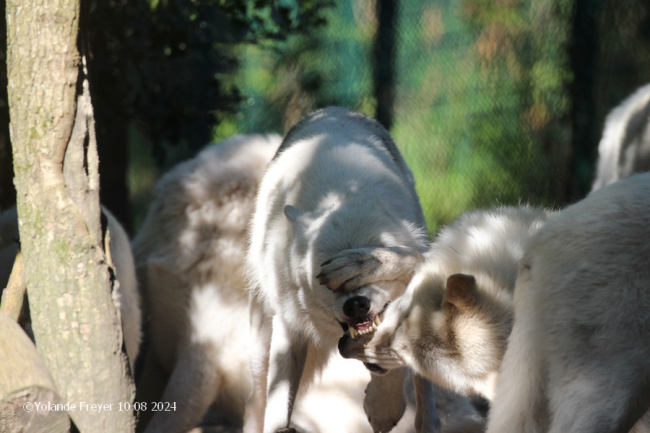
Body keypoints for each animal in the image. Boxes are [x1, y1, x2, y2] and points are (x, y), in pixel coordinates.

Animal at [244, 105, 440, 432]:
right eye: (321, 280)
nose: (356, 304)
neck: (338, 193)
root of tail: (333, 109)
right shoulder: (288, 326)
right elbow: (278, 408)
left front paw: (384, 407)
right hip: (261, 343)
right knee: (255, 403)